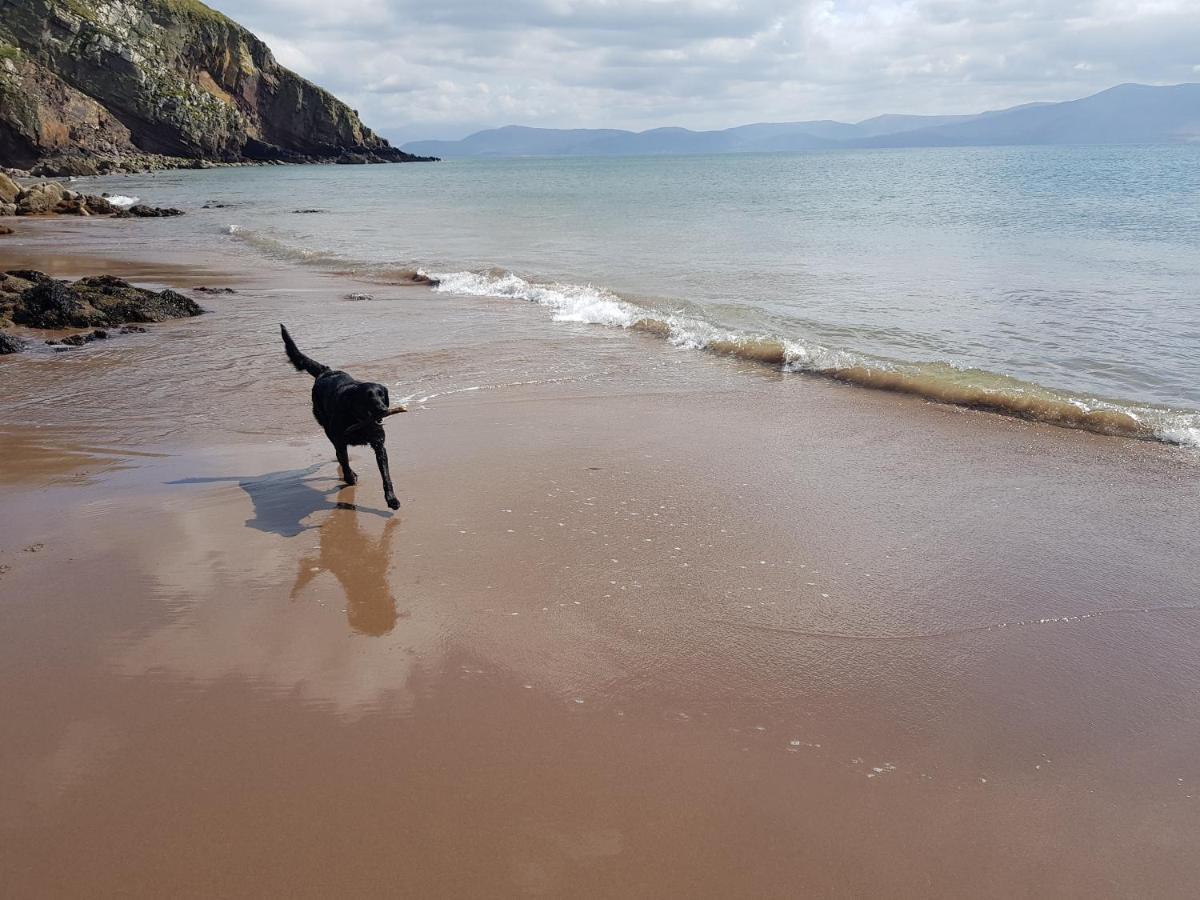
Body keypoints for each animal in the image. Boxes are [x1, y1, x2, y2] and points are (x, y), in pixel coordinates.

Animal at [280, 326, 403, 511]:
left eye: (381, 394)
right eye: (368, 397)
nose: (383, 409)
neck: (358, 420)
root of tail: (326, 371)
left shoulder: (379, 444)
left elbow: (385, 475)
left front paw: (392, 499)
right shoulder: (340, 439)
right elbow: (343, 459)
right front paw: (350, 477)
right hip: (326, 426)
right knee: (339, 454)